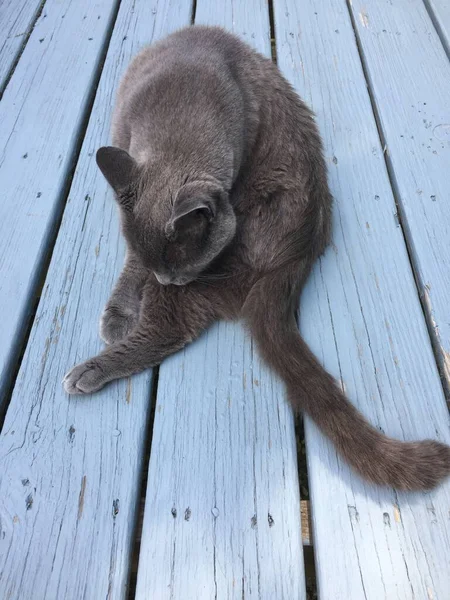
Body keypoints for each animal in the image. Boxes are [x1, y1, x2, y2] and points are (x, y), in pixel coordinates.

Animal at [63, 25, 450, 490]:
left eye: (183, 267)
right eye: (161, 266)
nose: (169, 280)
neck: (176, 123)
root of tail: (296, 259)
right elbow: (133, 262)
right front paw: (118, 311)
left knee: (168, 331)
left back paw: (86, 373)